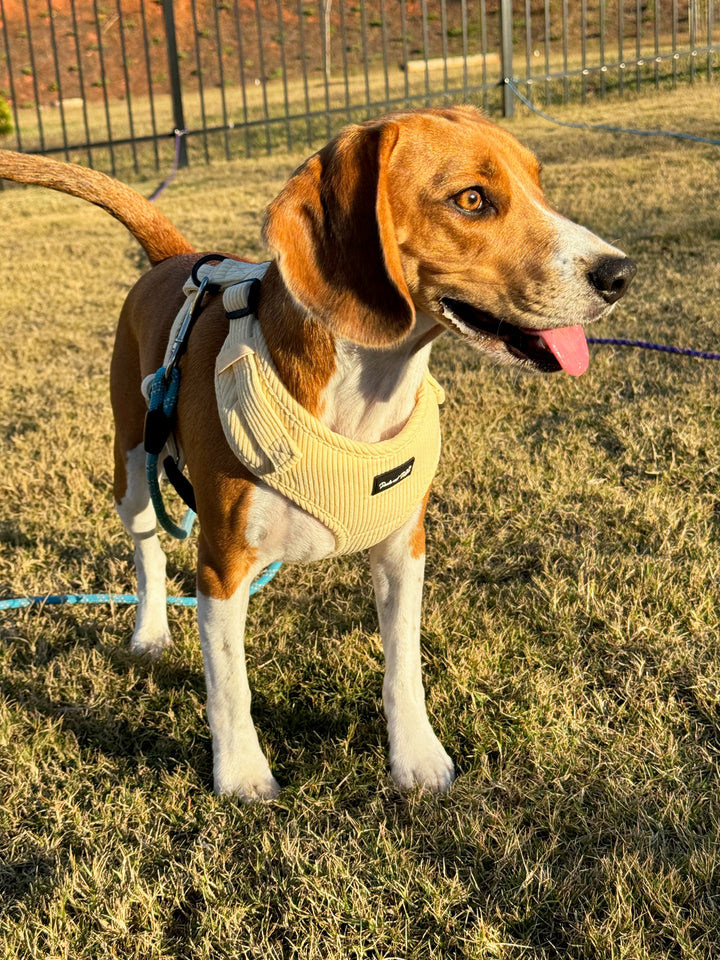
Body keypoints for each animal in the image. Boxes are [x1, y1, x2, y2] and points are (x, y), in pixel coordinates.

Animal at [0, 105, 632, 800]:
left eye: (539, 184)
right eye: (471, 199)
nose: (620, 274)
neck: (364, 398)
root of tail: (179, 258)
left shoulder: (403, 550)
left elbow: (402, 670)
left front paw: (416, 758)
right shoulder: (220, 567)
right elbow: (230, 686)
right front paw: (242, 774)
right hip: (131, 469)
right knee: (148, 554)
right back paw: (150, 631)